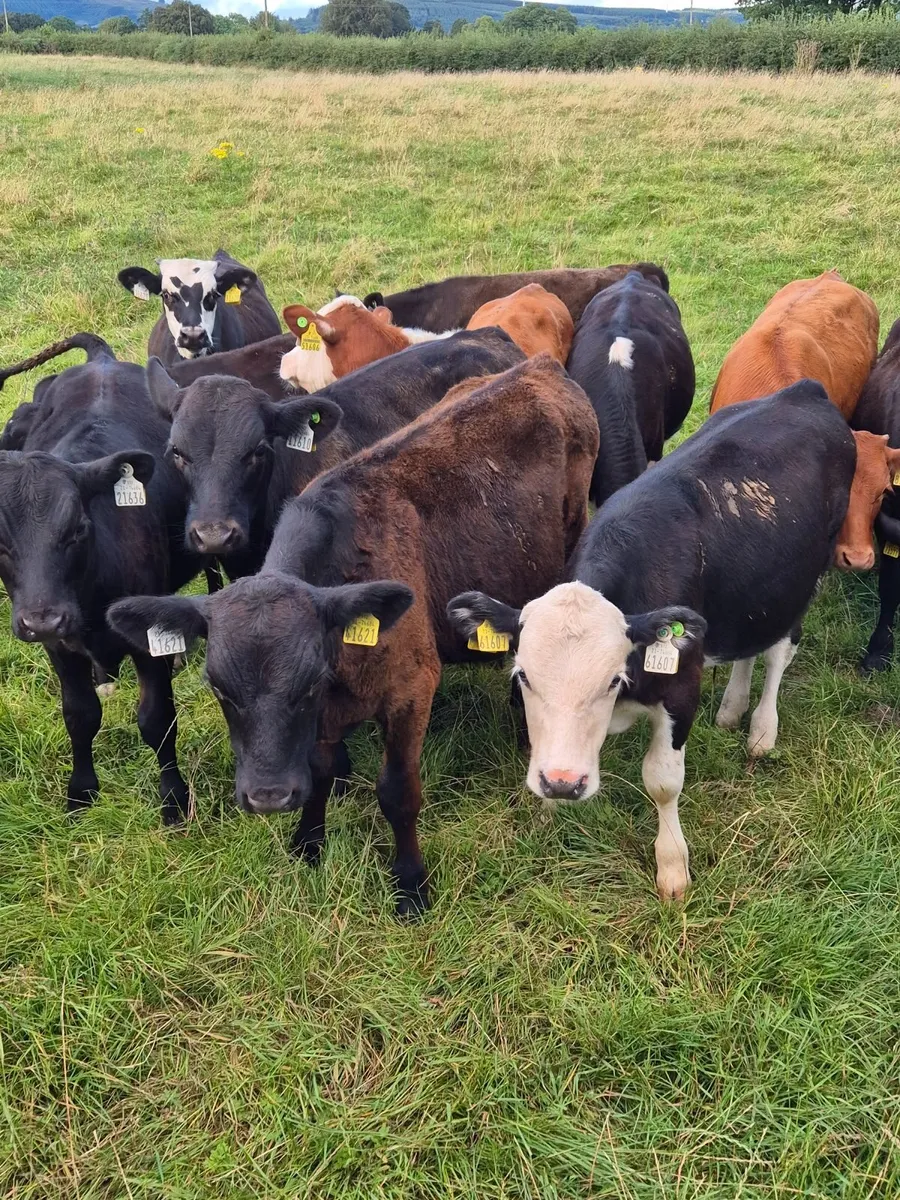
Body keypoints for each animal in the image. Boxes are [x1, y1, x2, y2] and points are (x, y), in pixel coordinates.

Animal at [0, 337, 205, 825]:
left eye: (77, 528)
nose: (42, 620)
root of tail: (101, 359)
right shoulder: (60, 648)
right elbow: (79, 715)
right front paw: (81, 793)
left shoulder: (146, 640)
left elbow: (157, 718)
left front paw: (174, 799)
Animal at [108, 355, 599, 915]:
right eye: (219, 688)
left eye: (257, 451)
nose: (267, 796)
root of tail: (540, 366)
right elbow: (319, 772)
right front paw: (308, 843)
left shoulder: (411, 691)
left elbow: (398, 792)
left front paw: (410, 883)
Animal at [447, 381, 855, 901]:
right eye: (523, 677)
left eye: (611, 680)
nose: (562, 783)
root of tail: (804, 390)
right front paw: (548, 812)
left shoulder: (681, 686)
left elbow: (662, 782)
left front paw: (673, 868)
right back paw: (732, 709)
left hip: (805, 578)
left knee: (780, 651)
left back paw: (762, 731)